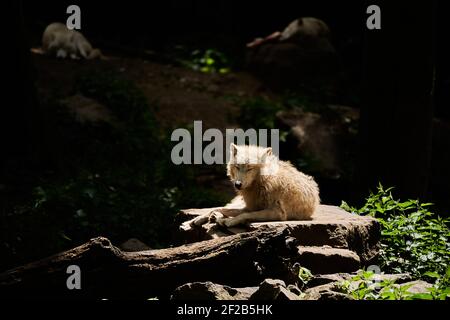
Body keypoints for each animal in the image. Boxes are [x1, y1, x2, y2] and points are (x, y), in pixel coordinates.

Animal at [190, 144, 320, 229]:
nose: (238, 184)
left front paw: (229, 221)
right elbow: (221, 208)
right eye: (237, 167)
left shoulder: (278, 213)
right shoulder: (250, 206)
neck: (262, 182)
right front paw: (199, 219)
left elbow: (245, 215)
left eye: (250, 168)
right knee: (220, 208)